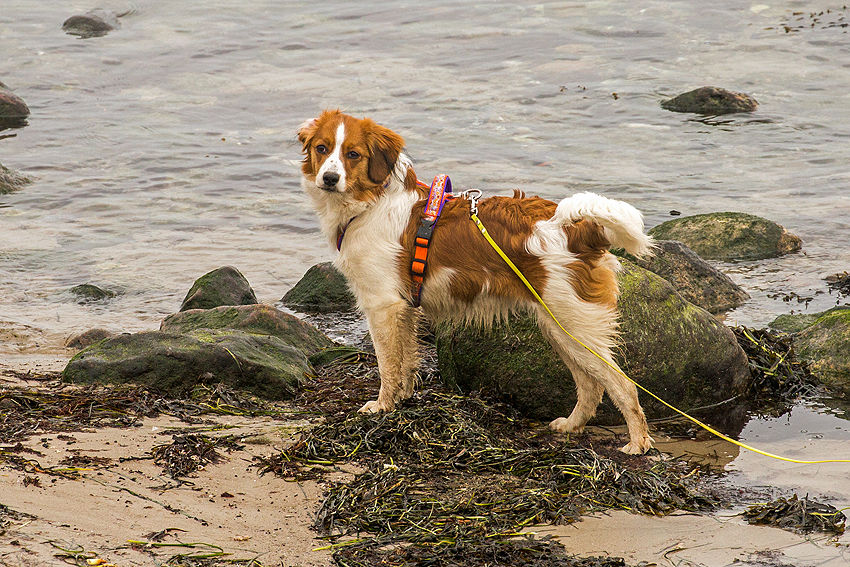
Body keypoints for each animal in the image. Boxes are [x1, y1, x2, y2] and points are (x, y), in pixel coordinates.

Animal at [300, 108, 656, 454]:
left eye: (353, 154)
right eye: (322, 148)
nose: (329, 178)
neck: (371, 204)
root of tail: (579, 230)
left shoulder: (382, 305)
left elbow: (387, 365)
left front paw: (381, 406)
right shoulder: (405, 308)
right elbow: (405, 361)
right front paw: (402, 399)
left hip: (576, 325)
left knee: (623, 385)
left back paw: (637, 443)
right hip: (559, 327)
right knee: (591, 385)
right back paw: (572, 425)